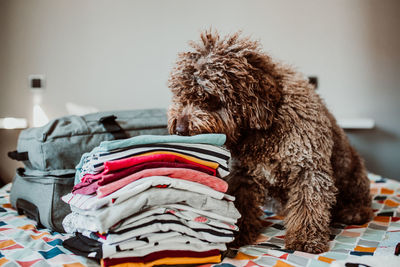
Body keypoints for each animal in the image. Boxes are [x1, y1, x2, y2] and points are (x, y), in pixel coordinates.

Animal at [167, 30, 374, 254]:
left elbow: (308, 205)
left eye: (208, 98)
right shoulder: (242, 175)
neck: (264, 126)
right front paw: (235, 235)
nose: (179, 130)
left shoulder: (308, 169)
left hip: (353, 172)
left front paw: (304, 239)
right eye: (181, 95)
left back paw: (354, 211)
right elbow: (240, 207)